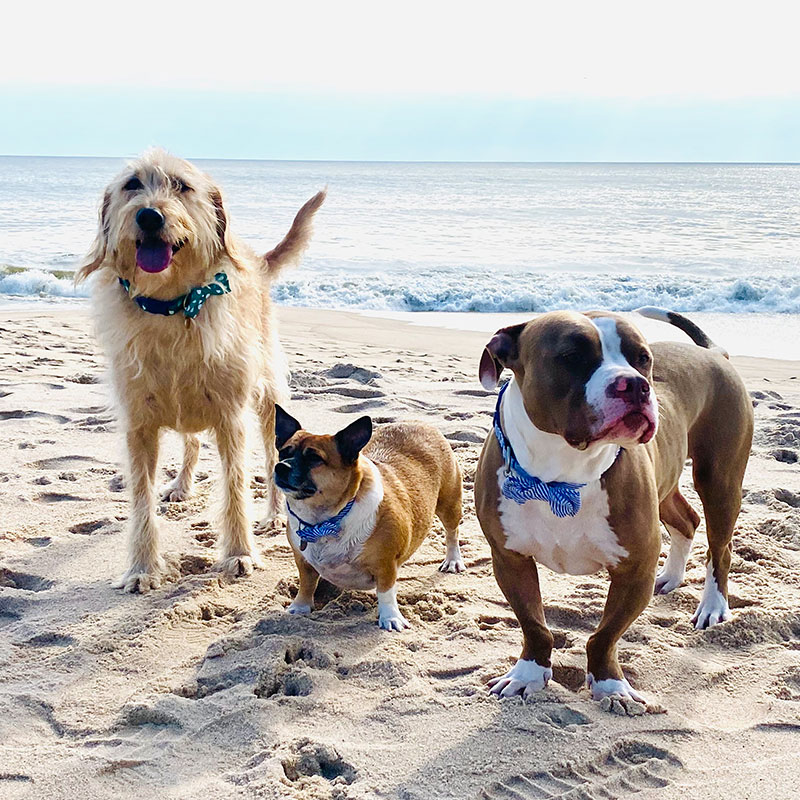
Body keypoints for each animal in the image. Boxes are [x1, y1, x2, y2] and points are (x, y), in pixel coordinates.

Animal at [76, 148, 324, 592]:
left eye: (182, 186)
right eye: (132, 185)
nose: (149, 216)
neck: (171, 307)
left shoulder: (231, 418)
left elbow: (236, 488)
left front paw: (239, 554)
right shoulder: (139, 425)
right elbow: (141, 499)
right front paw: (141, 568)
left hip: (268, 397)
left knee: (270, 455)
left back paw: (274, 515)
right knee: (190, 441)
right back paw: (181, 484)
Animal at [274, 410, 466, 628]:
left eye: (314, 458)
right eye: (283, 452)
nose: (280, 466)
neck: (325, 521)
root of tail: (418, 422)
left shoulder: (386, 565)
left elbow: (386, 592)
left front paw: (390, 617)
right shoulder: (302, 560)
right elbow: (306, 584)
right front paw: (300, 607)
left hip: (449, 505)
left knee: (452, 533)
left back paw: (453, 560)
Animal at [476, 306, 756, 708]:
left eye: (642, 358)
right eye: (571, 356)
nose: (635, 385)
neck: (564, 474)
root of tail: (713, 354)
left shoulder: (634, 569)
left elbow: (605, 635)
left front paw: (610, 685)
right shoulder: (509, 559)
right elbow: (534, 624)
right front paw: (527, 673)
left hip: (719, 479)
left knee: (720, 547)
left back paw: (713, 605)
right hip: (665, 482)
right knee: (686, 520)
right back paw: (671, 576)